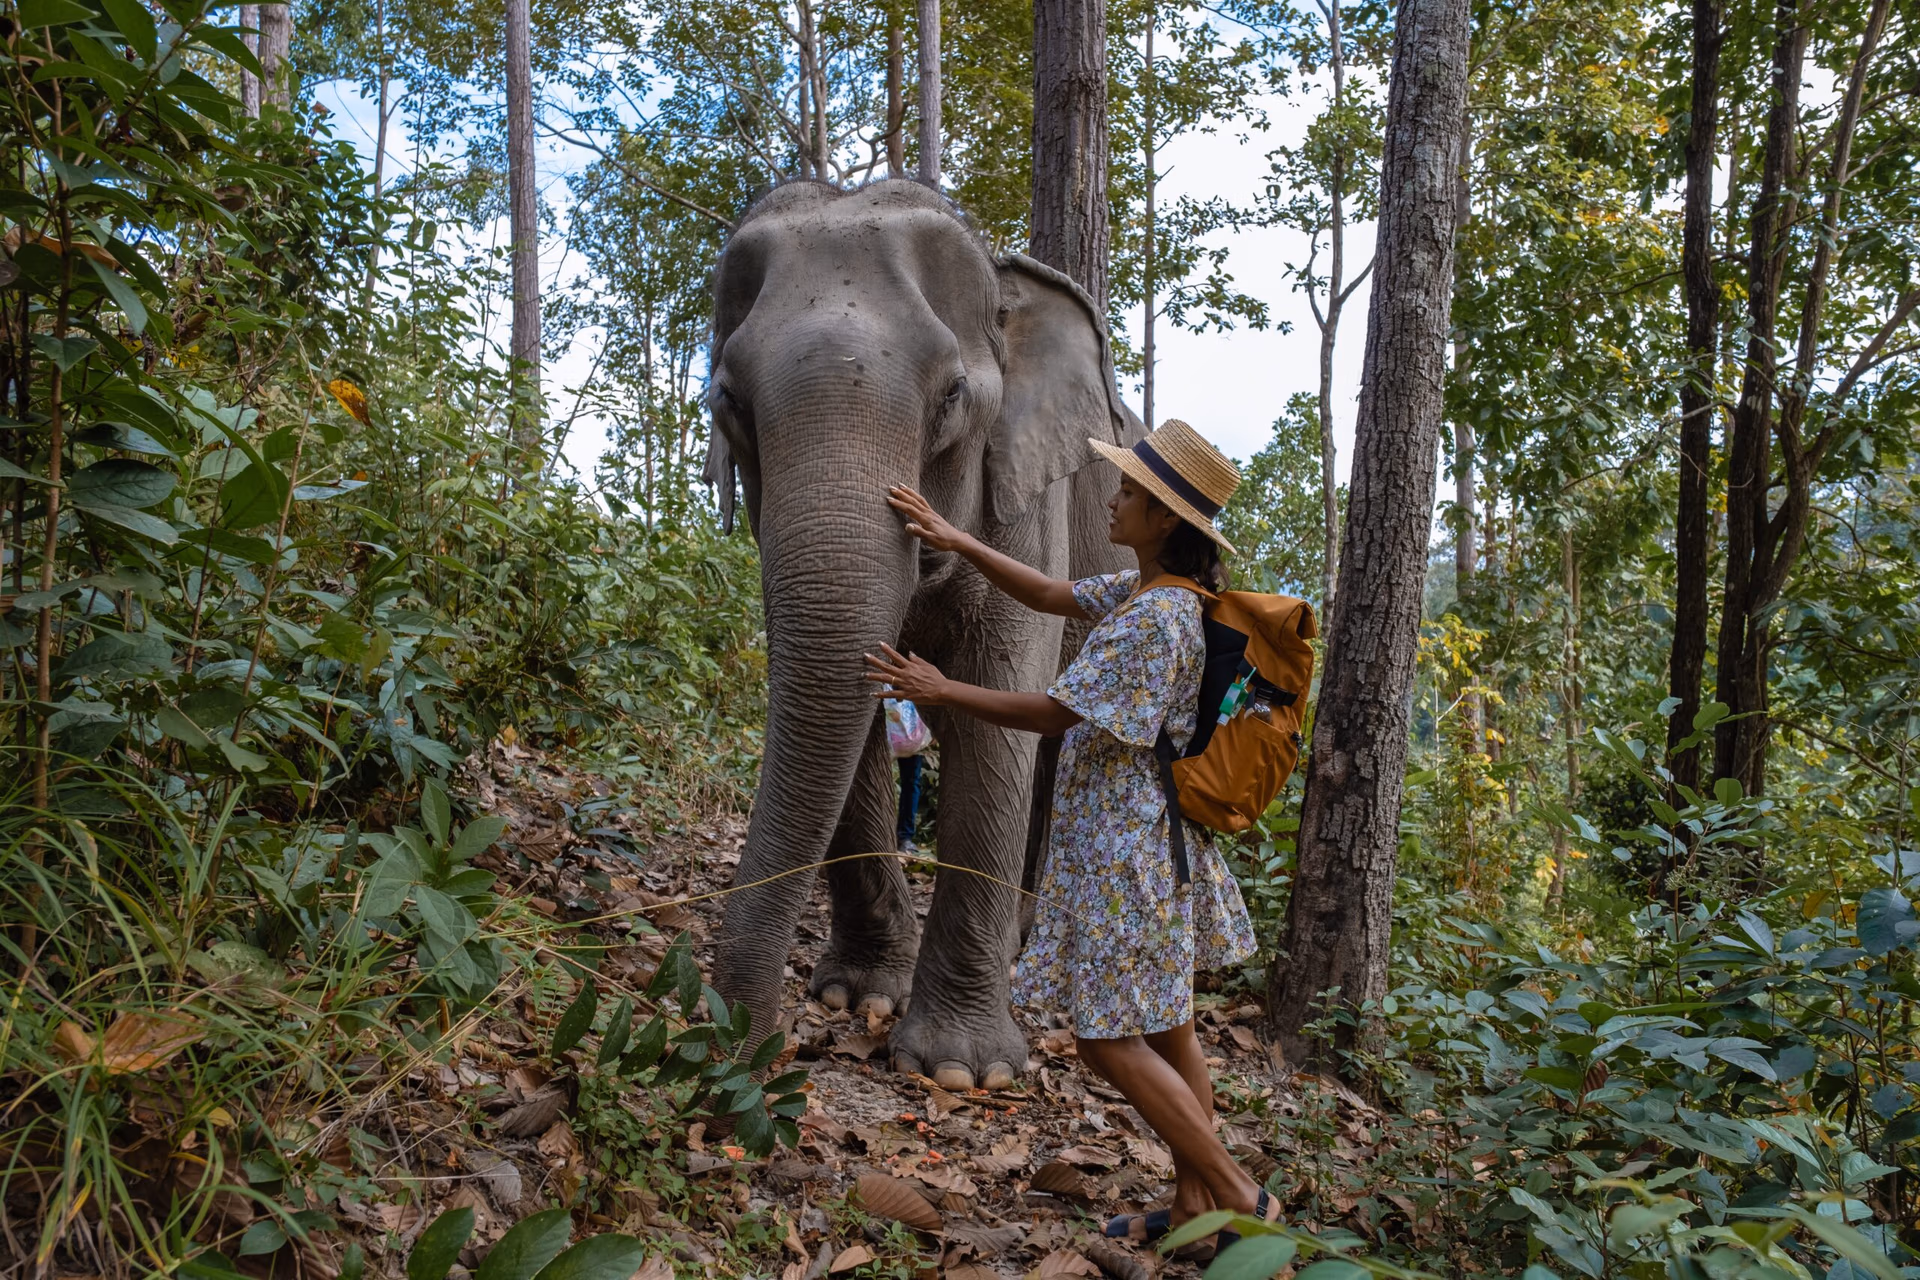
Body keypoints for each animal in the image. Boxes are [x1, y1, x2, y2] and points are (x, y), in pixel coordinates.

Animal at [702, 178, 1143, 1090]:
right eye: (729, 403)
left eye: (952, 398)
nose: (753, 1046)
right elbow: (846, 702)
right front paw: (859, 995)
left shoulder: (1028, 501)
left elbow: (997, 713)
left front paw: (963, 1070)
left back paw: (1024, 950)